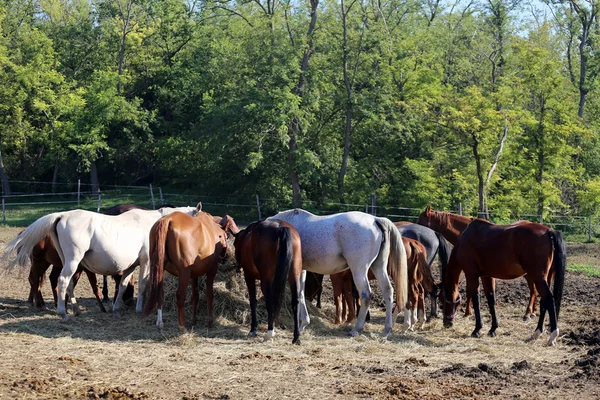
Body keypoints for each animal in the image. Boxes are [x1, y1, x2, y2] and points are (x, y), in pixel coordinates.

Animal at [3, 205, 200, 318]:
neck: (152, 223)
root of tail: (61, 216)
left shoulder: (130, 267)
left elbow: (123, 285)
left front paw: (116, 307)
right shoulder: (146, 262)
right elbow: (143, 285)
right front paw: (138, 309)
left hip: (71, 264)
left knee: (68, 284)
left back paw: (75, 309)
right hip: (71, 262)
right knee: (62, 281)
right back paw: (62, 311)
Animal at [270, 209, 410, 338]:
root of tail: (376, 219)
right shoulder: (302, 269)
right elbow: (300, 293)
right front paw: (303, 324)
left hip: (359, 268)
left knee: (365, 294)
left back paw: (356, 329)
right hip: (378, 266)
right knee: (388, 291)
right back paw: (387, 330)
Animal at [438, 217, 564, 346]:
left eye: (442, 301)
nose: (446, 323)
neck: (465, 239)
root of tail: (548, 231)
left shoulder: (471, 275)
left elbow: (476, 300)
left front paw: (477, 329)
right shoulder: (487, 276)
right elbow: (491, 300)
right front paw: (493, 329)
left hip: (538, 278)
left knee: (549, 299)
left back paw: (552, 335)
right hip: (545, 278)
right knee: (544, 302)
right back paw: (536, 333)